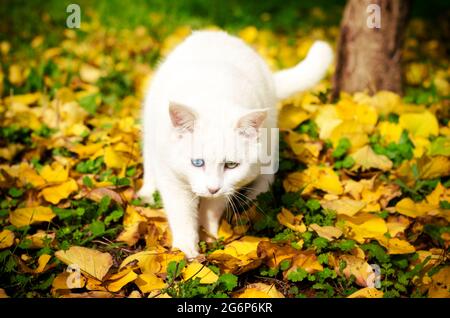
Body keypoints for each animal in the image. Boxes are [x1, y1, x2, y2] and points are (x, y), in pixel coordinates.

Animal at [139, 30, 332, 258]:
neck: (212, 97)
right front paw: (187, 249)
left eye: (231, 165)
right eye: (197, 163)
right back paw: (148, 191)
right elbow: (182, 213)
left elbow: (213, 208)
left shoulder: (232, 184)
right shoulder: (172, 177)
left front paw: (210, 234)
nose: (212, 188)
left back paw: (255, 198)